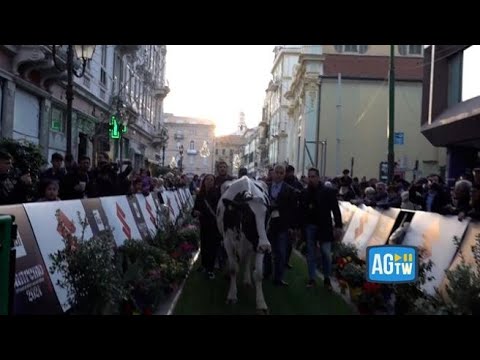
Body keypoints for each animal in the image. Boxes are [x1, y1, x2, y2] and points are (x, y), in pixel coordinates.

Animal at [217, 176, 270, 314]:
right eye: (247, 217)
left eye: (266, 216)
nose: (266, 247)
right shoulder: (228, 242)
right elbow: (233, 269)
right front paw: (232, 295)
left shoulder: (258, 244)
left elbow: (259, 274)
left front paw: (261, 303)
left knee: (247, 259)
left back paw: (247, 280)